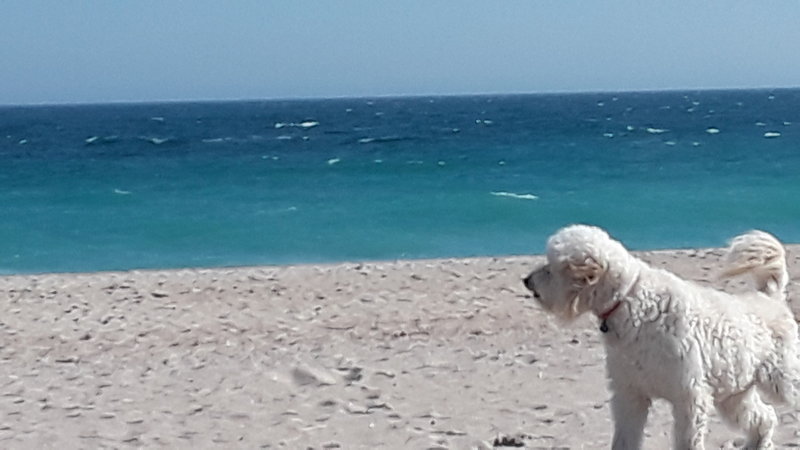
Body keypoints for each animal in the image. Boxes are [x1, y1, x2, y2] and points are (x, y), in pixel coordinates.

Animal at [520, 225, 796, 450]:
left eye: (551, 267)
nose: (526, 280)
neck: (629, 299)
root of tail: (770, 298)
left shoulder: (689, 397)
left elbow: (688, 442)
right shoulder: (630, 395)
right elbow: (624, 439)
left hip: (782, 382)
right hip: (733, 395)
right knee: (765, 417)